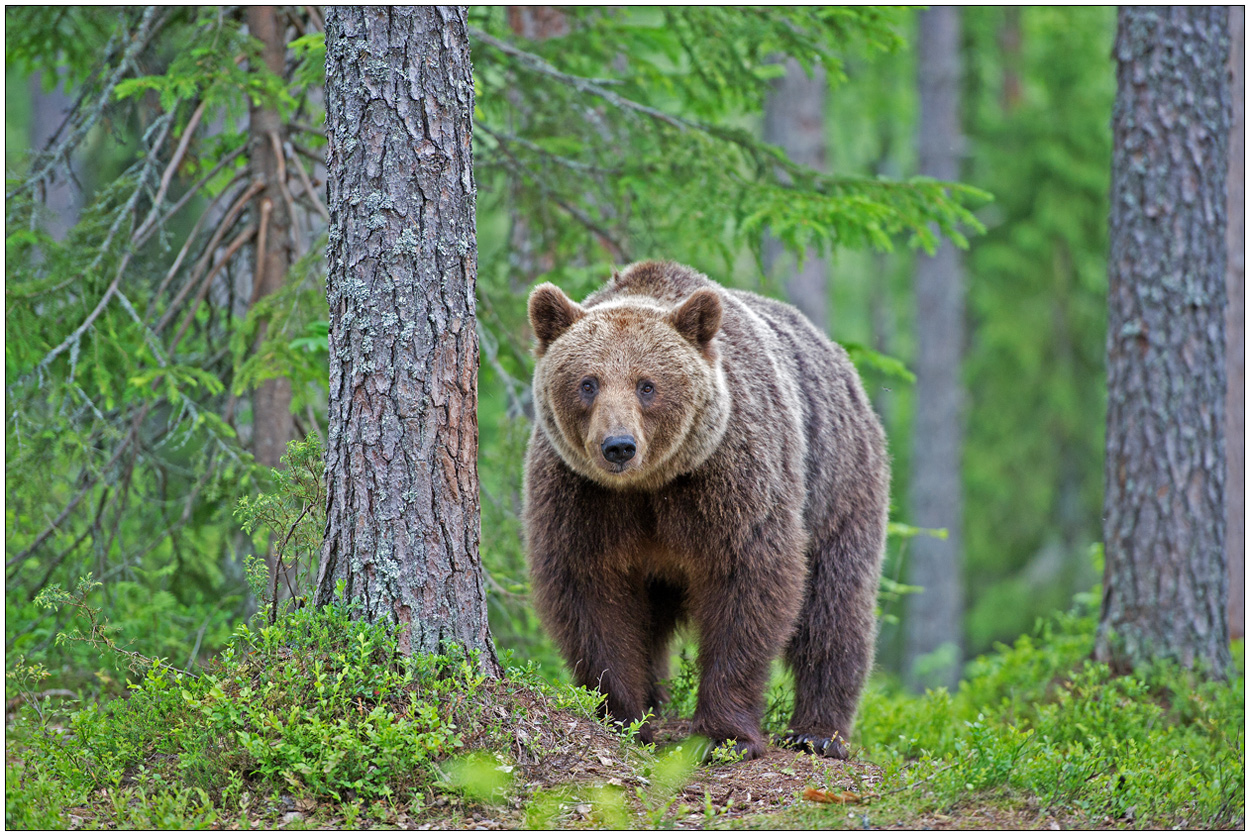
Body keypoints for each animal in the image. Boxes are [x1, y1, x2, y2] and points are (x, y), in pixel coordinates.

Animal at [522, 258, 895, 754]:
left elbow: (747, 585)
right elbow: (592, 596)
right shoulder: (582, 496)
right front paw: (624, 716)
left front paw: (725, 734)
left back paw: (817, 732)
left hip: (839, 485)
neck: (650, 485)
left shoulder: (729, 477)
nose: (618, 446)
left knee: (835, 604)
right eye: (588, 383)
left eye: (647, 385)